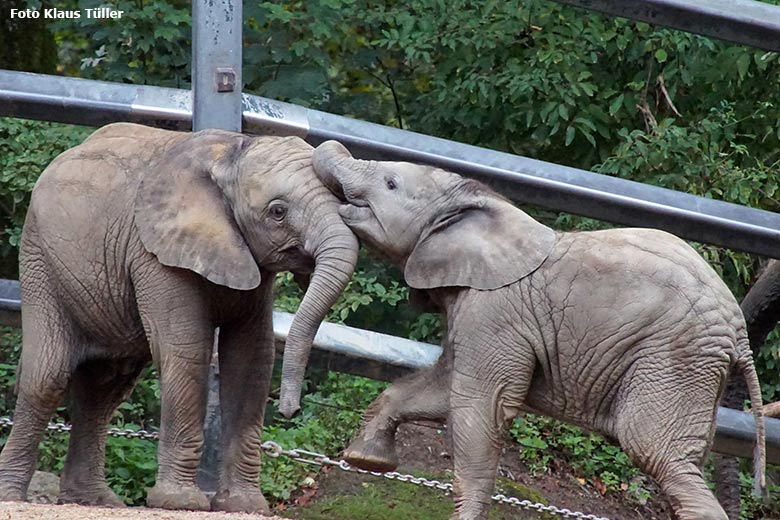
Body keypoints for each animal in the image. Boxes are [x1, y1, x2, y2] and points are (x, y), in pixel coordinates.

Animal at [0, 124, 358, 512]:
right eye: (278, 211)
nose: (290, 411)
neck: (232, 150)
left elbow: (251, 359)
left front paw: (244, 506)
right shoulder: (154, 254)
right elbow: (187, 349)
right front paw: (179, 502)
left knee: (104, 387)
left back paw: (94, 500)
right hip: (40, 259)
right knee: (47, 377)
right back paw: (12, 494)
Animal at [276, 138, 768, 520]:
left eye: (391, 184)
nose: (290, 413)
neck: (479, 206)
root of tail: (739, 332)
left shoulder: (494, 313)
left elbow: (479, 407)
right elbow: (439, 388)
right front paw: (367, 459)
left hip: (674, 359)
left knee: (656, 450)